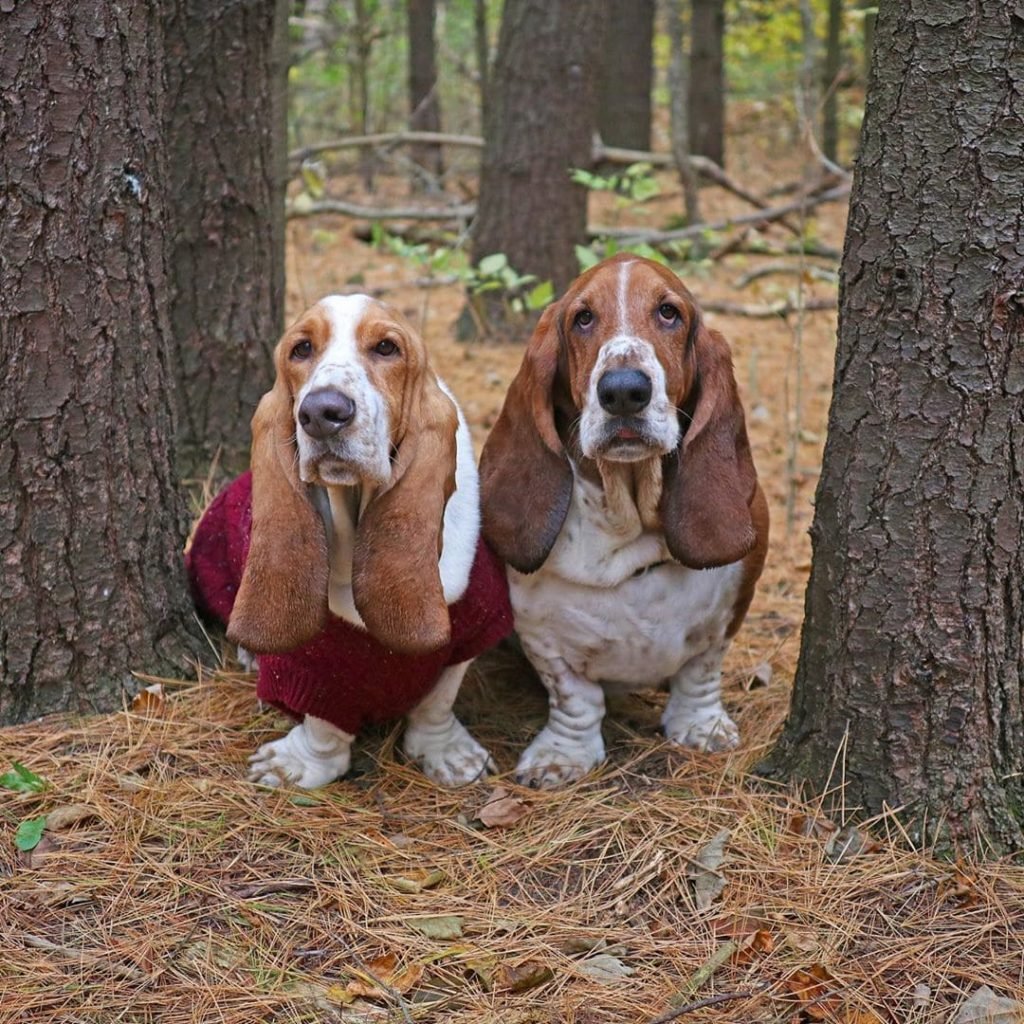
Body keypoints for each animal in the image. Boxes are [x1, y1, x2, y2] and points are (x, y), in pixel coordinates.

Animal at [187, 296, 512, 790]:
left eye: (386, 347)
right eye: (301, 349)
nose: (322, 413)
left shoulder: (473, 630)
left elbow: (438, 700)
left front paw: (447, 753)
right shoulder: (314, 670)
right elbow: (326, 725)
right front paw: (299, 764)